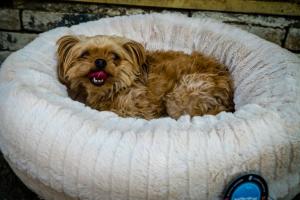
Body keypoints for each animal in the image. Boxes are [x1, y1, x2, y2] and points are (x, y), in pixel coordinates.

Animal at [56, 34, 234, 119]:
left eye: (115, 56)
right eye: (85, 54)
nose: (100, 61)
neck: (112, 90)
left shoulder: (137, 109)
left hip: (180, 96)